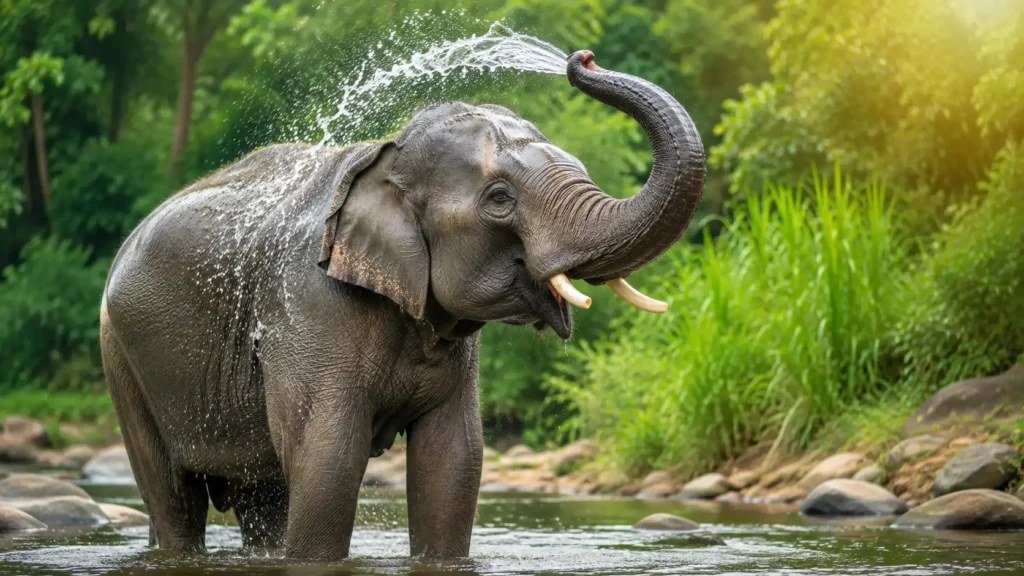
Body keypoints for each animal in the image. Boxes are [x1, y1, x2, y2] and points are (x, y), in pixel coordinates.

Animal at [99, 50, 705, 560]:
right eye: (500, 199)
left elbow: (453, 461)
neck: (384, 155)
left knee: (261, 497)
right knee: (174, 497)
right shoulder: (310, 306)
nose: (583, 58)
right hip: (121, 357)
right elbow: (328, 460)